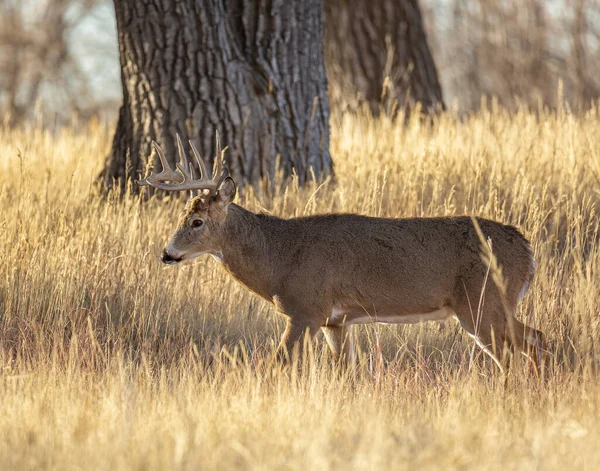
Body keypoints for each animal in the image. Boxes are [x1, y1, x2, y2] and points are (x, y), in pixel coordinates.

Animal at [136, 136, 544, 372]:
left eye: (198, 221)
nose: (166, 253)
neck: (278, 259)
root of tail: (527, 251)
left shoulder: (307, 309)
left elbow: (278, 363)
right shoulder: (337, 320)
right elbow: (343, 369)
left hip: (482, 303)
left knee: (519, 350)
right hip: (494, 305)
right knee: (534, 339)